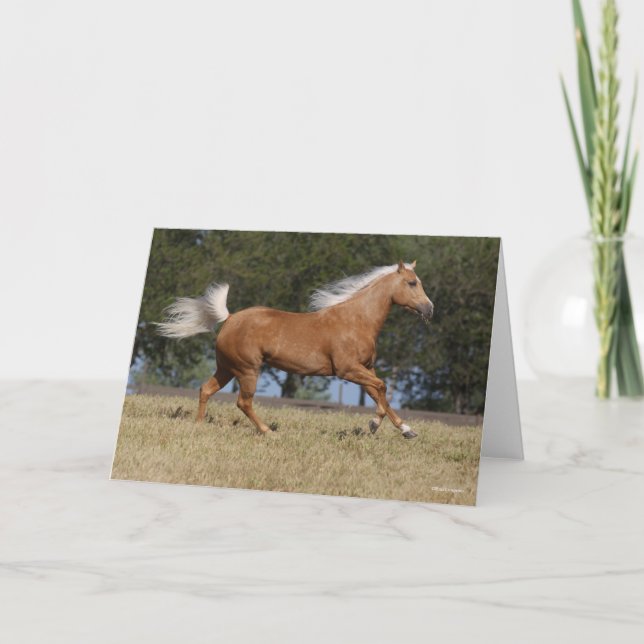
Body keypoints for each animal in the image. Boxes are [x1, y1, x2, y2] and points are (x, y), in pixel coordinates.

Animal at [157, 260, 433, 439]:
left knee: (206, 389)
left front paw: (407, 430)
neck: (356, 320)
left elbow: (379, 393)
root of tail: (231, 318)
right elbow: (382, 389)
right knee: (243, 402)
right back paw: (268, 432)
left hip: (227, 368)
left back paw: (198, 425)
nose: (430, 309)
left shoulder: (366, 368)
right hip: (247, 370)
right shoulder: (347, 370)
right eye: (412, 283)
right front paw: (375, 424)